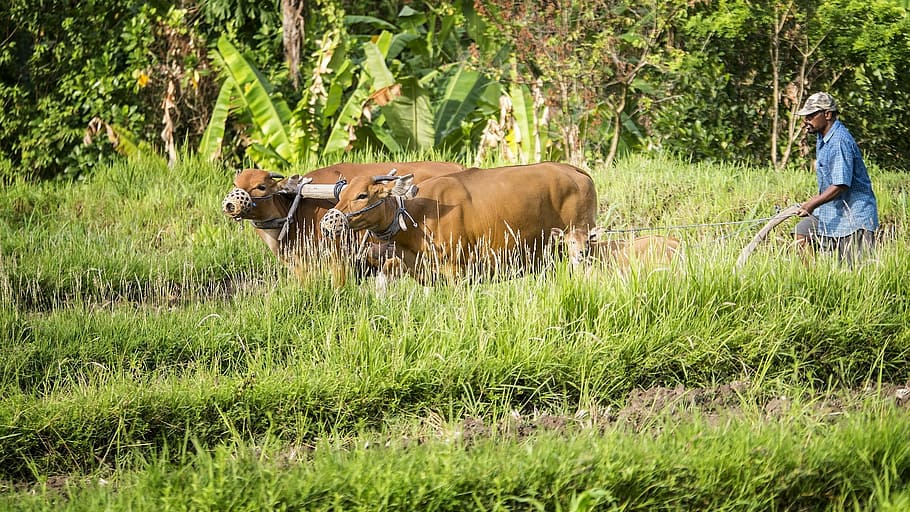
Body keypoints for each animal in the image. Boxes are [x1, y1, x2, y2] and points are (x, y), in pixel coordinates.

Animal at [319, 162, 597, 284]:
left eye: (362, 195)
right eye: (341, 193)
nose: (327, 223)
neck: (420, 215)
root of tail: (577, 171)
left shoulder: (457, 271)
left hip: (581, 246)